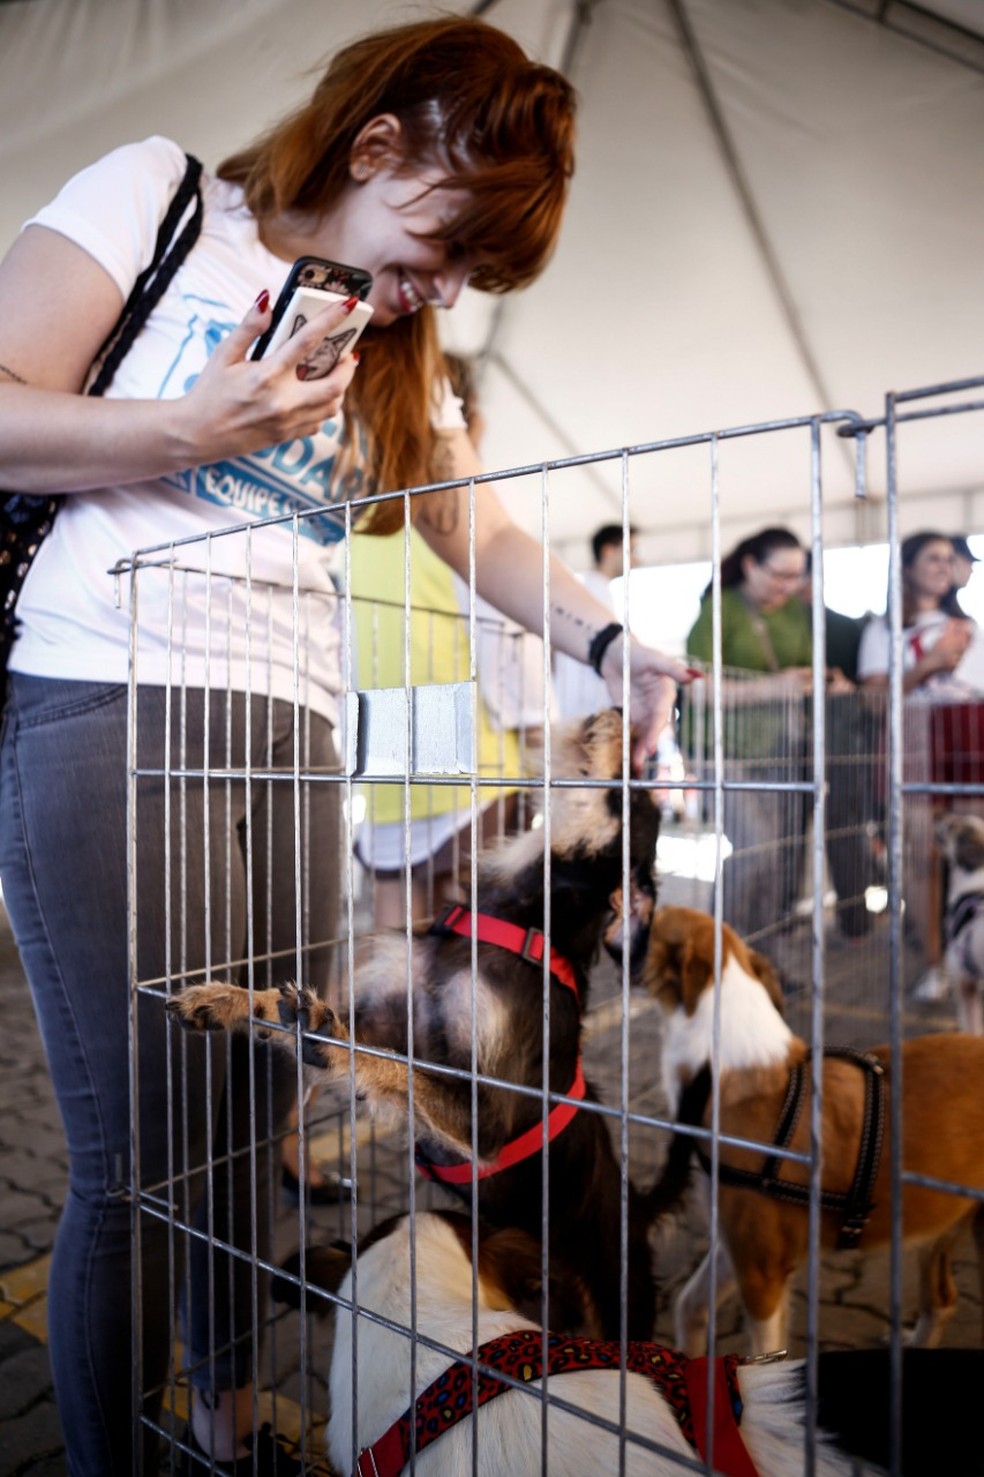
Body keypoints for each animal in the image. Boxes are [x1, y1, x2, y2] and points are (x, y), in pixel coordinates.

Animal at [166, 708, 658, 1347]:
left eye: (635, 792)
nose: (623, 712)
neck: (521, 917)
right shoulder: (382, 1007)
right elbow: (288, 1010)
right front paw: (227, 999)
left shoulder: (485, 1120)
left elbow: (394, 1062)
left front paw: (327, 1041)